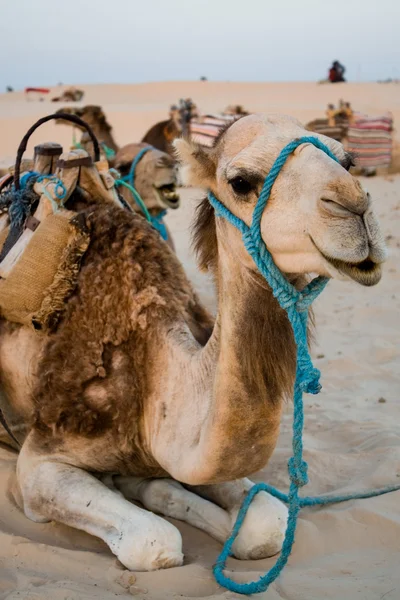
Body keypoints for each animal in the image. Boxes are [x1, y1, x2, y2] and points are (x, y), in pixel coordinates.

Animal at [0, 113, 388, 572]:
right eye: (240, 181)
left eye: (347, 160)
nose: (355, 207)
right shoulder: (40, 460)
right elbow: (155, 541)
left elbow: (265, 525)